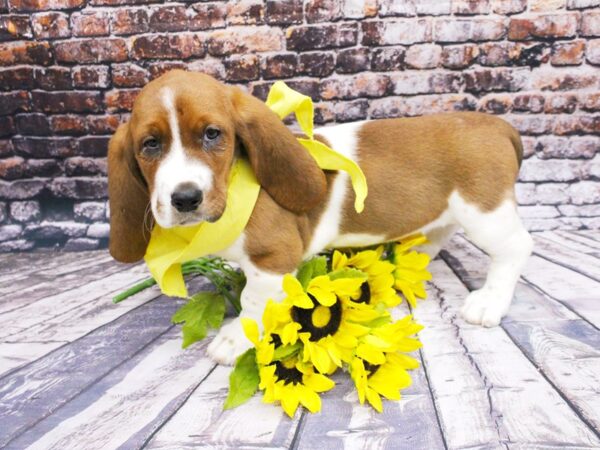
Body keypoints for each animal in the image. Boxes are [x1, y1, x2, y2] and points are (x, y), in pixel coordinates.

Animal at [108, 71, 536, 366]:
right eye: (150, 145)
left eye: (213, 134)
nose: (185, 198)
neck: (236, 186)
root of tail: (497, 124)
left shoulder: (272, 260)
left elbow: (253, 302)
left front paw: (236, 338)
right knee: (437, 235)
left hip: (484, 212)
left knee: (516, 248)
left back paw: (490, 302)